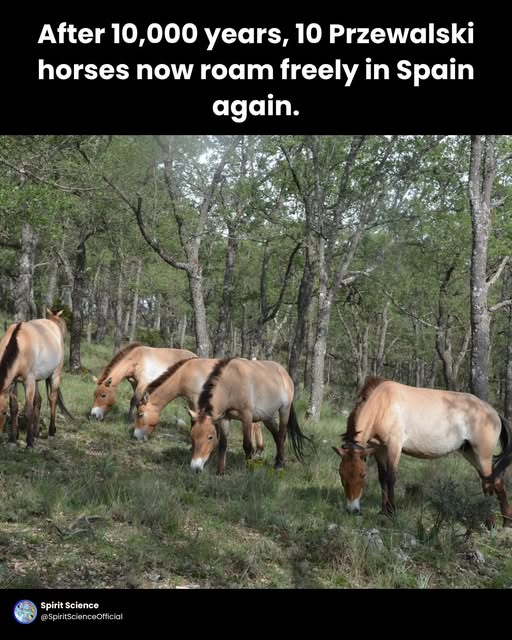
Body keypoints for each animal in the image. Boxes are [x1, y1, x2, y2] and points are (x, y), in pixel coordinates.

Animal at [0, 309, 74, 447]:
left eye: (3, 412)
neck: (18, 345)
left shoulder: (28, 381)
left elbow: (28, 410)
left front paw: (29, 443)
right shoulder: (14, 381)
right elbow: (14, 408)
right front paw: (13, 439)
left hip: (55, 375)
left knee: (53, 399)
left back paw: (51, 431)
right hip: (37, 380)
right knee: (38, 401)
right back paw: (36, 433)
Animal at [134, 357, 264, 474]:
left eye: (140, 414)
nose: (135, 436)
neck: (185, 374)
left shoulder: (198, 403)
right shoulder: (192, 404)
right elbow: (194, 424)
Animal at [332, 376, 512, 527]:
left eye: (362, 475)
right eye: (341, 474)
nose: (352, 509)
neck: (383, 404)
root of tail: (494, 413)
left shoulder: (393, 446)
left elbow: (391, 477)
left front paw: (392, 512)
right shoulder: (379, 449)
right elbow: (382, 477)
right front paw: (383, 511)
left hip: (483, 455)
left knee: (492, 481)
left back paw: (498, 522)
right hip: (470, 453)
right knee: (494, 480)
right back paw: (502, 520)